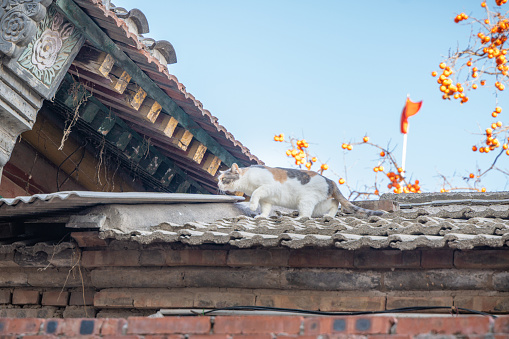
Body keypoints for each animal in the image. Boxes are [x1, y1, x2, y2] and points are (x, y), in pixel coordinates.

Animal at [216, 164, 382, 218]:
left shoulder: (267, 187)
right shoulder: (267, 199)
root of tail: (331, 181)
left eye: (223, 179)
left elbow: (256, 193)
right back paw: (329, 215)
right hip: (319, 204)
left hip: (306, 201)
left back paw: (299, 218)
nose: (217, 184)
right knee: (335, 203)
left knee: (306, 215)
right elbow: (265, 208)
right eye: (219, 179)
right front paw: (262, 216)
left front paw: (251, 206)